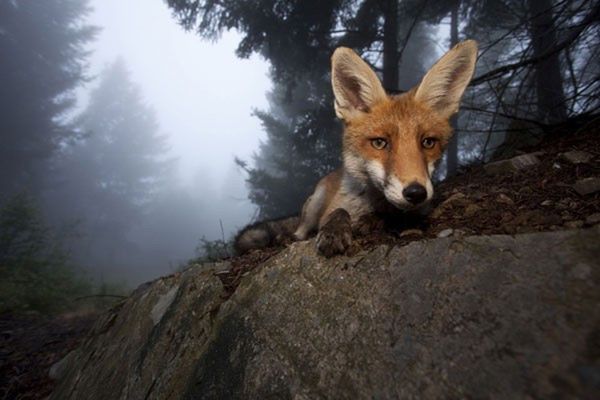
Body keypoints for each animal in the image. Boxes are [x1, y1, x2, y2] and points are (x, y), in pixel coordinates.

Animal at [236, 39, 478, 256]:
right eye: (379, 142)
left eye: (428, 142)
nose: (416, 193)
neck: (374, 202)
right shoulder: (331, 210)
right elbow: (338, 212)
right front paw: (334, 231)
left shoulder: (418, 211)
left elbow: (393, 216)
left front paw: (371, 221)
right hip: (315, 202)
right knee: (301, 230)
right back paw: (288, 237)